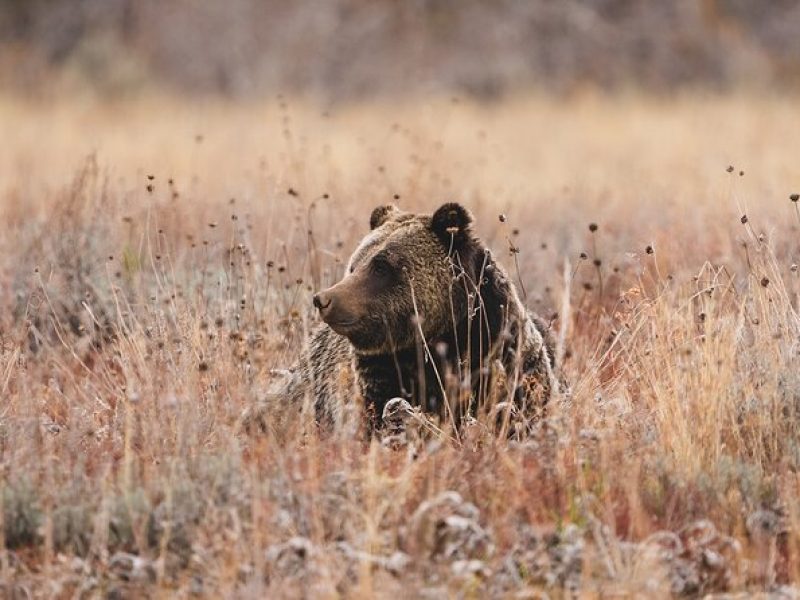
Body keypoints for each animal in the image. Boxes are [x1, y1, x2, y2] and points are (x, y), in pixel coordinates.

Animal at [244, 204, 556, 434]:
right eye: (355, 264)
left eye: (381, 265)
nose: (324, 299)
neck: (441, 338)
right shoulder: (381, 373)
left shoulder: (502, 351)